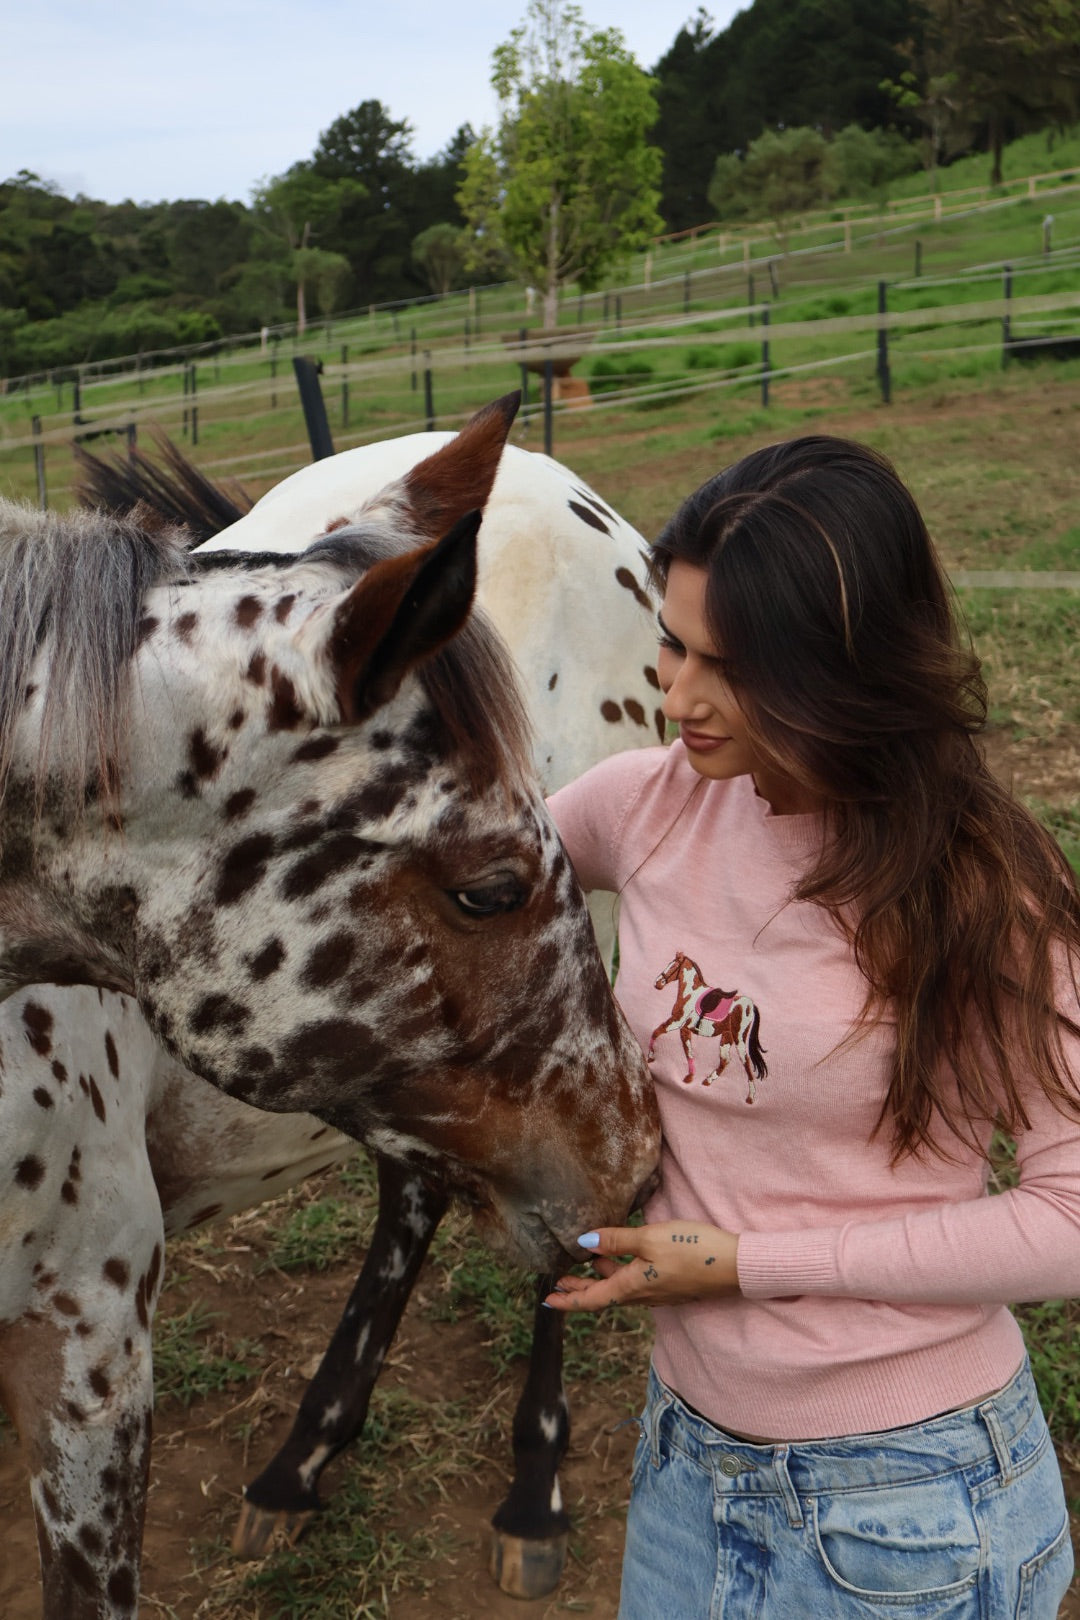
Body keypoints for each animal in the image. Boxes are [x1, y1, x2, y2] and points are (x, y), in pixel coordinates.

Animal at [0, 392, 662, 1620]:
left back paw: (531, 1492)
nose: (643, 1164)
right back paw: (301, 1463)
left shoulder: (87, 1337)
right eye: (490, 888)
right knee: (421, 1190)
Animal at [650, 950, 768, 1101]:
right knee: (725, 1060)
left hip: (739, 1037)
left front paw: (650, 1057)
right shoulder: (684, 1029)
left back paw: (751, 1097)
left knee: (745, 1061)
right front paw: (689, 1077)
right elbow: (688, 1051)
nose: (657, 983)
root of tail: (751, 1005)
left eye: (673, 966)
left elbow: (656, 1032)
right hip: (727, 1036)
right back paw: (708, 1080)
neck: (691, 993)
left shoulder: (676, 1022)